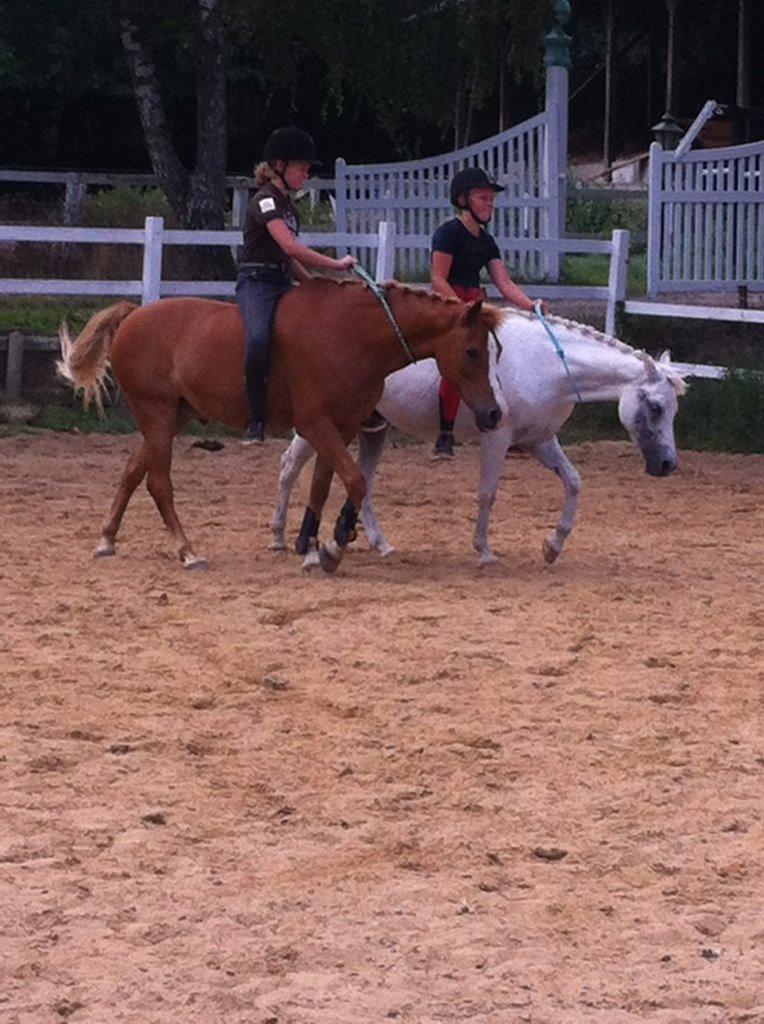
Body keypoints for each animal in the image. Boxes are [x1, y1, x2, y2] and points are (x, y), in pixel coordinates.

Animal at [59, 276, 499, 573]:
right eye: (472, 351)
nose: (493, 413)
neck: (352, 335)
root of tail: (133, 315)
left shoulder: (339, 427)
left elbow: (323, 486)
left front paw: (314, 548)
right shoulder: (317, 423)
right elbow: (355, 480)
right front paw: (334, 546)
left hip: (168, 418)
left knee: (133, 471)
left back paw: (106, 539)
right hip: (158, 414)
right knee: (157, 482)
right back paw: (188, 551)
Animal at [270, 309, 684, 569]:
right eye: (657, 407)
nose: (668, 464)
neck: (545, 364)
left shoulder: (540, 441)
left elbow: (574, 482)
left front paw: (552, 546)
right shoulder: (497, 439)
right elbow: (488, 493)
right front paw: (484, 551)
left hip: (374, 428)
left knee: (363, 482)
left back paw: (380, 544)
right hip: (323, 423)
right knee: (289, 467)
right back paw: (279, 537)